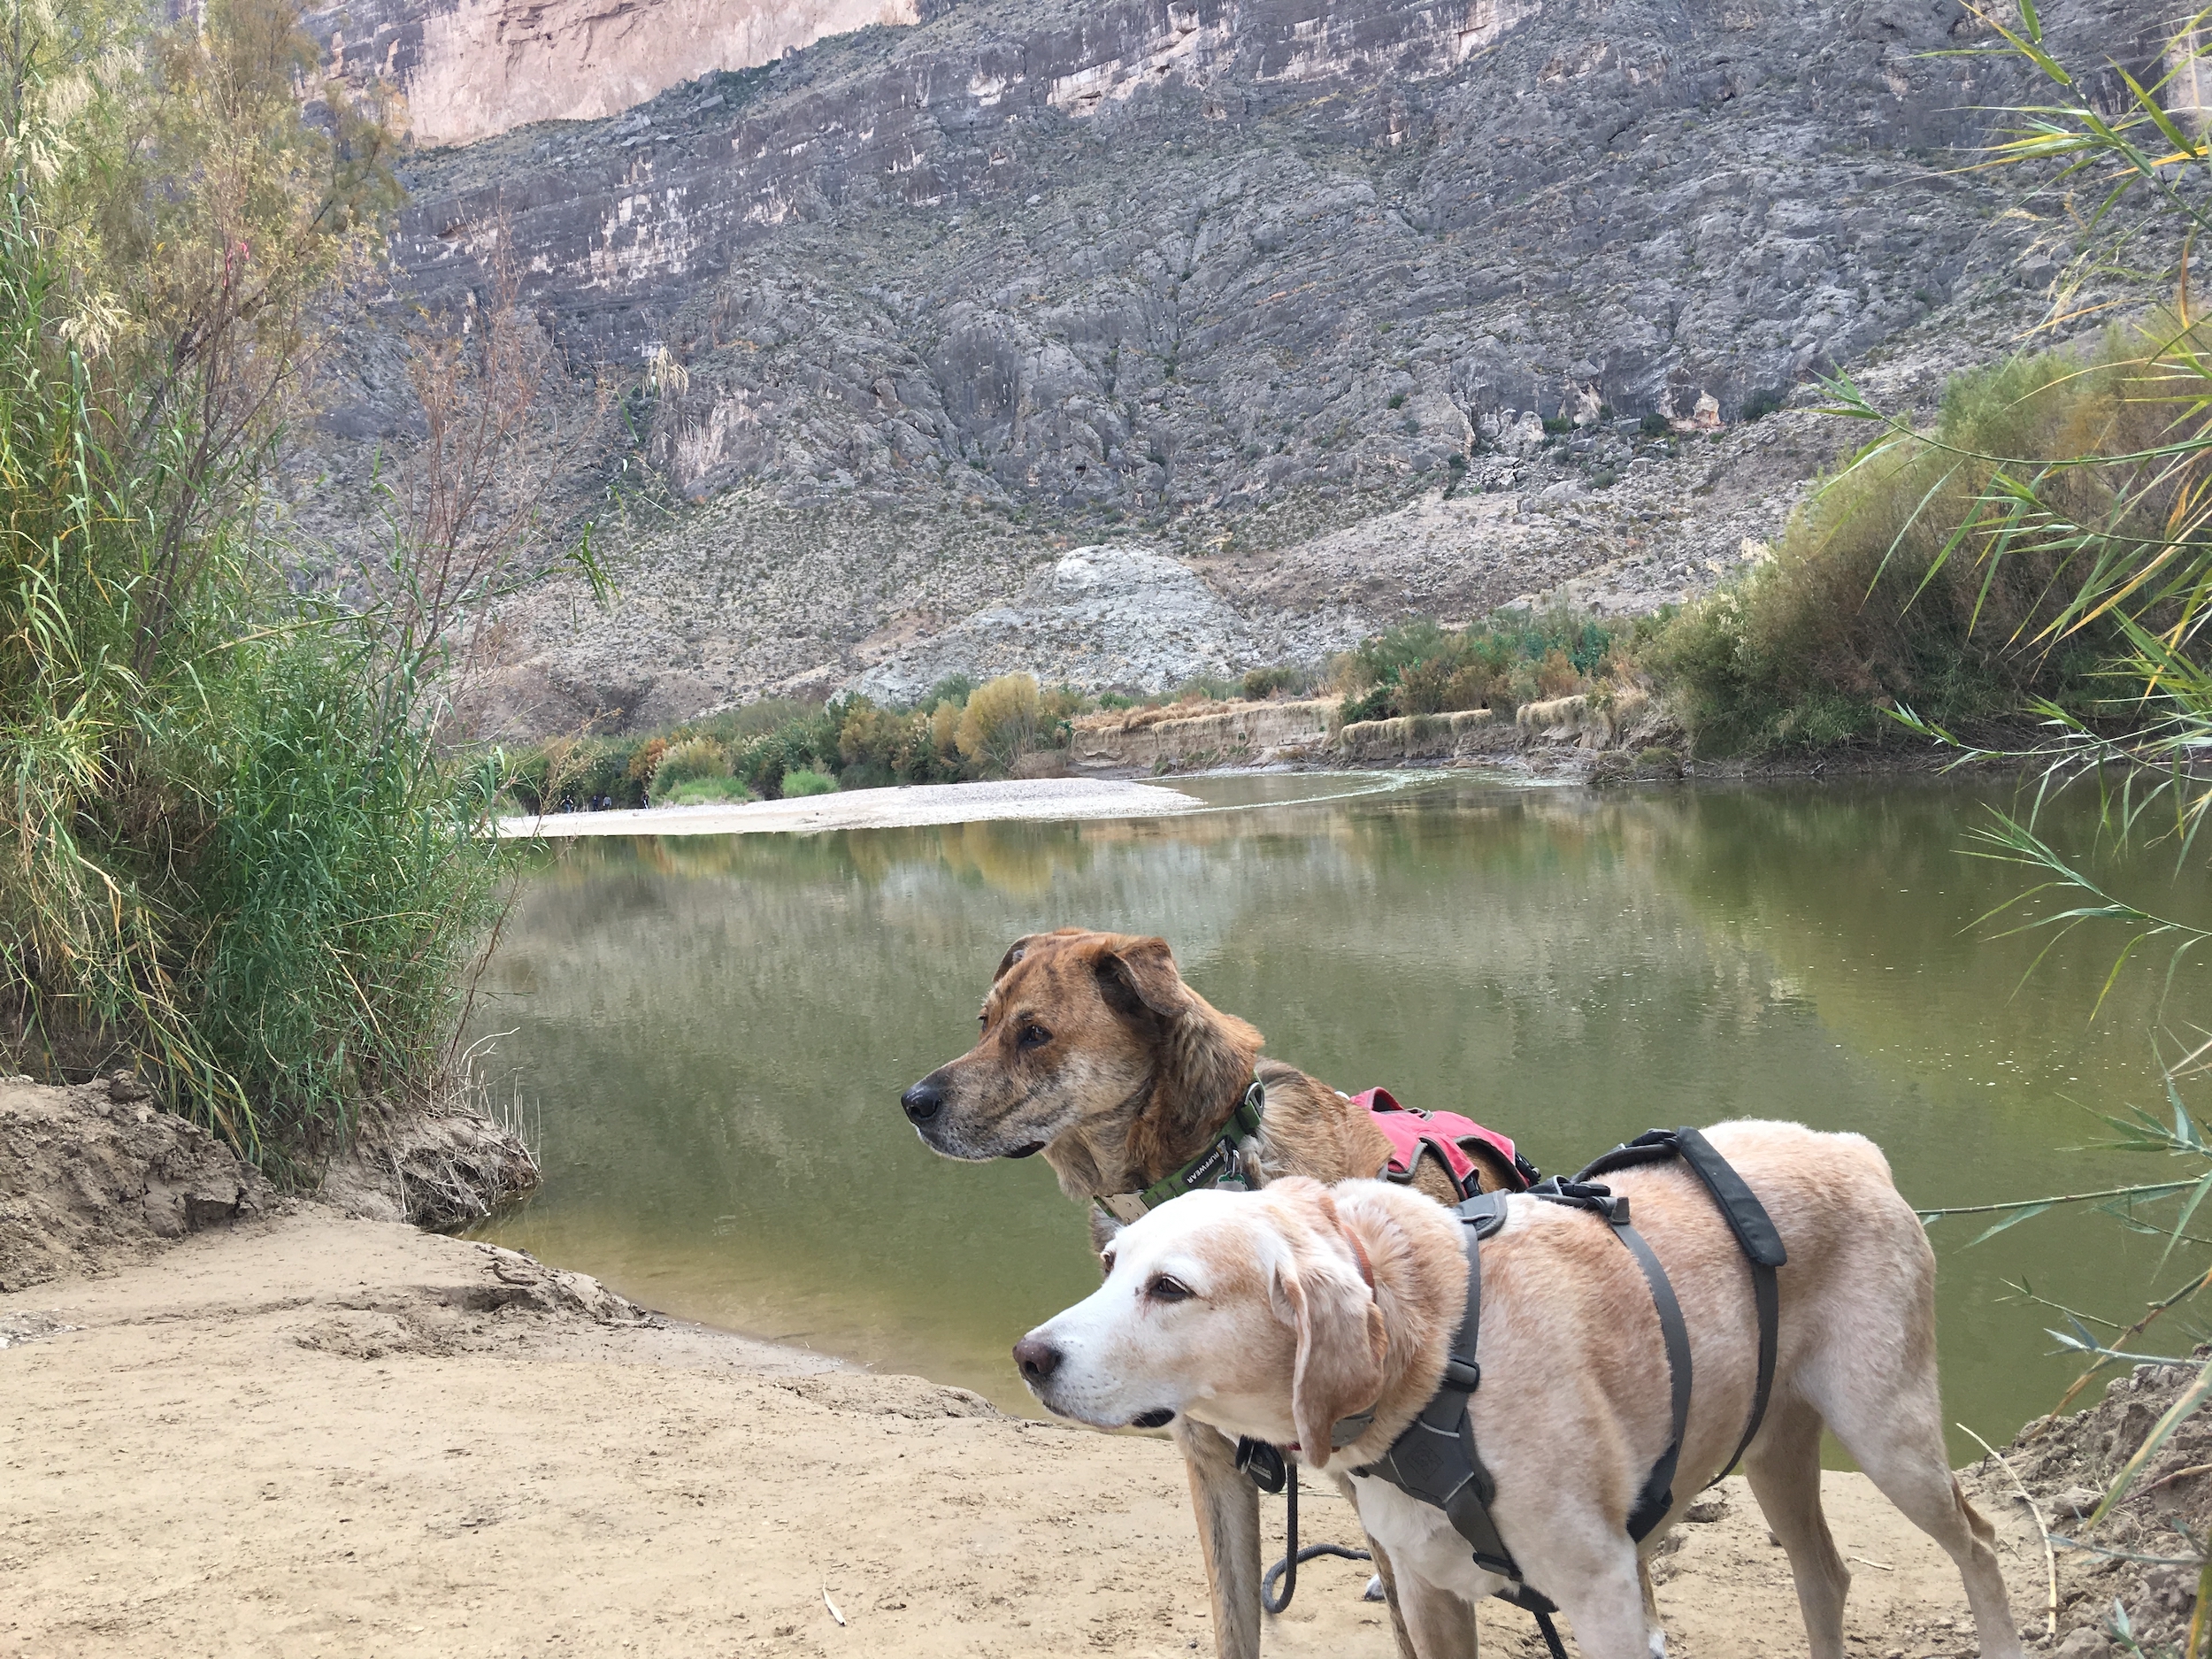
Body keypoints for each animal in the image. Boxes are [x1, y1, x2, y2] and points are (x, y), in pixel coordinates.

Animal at [1018, 1119, 2026, 1659]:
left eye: (1170, 1288)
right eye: (1110, 1265)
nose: (1029, 1355)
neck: (1439, 1373)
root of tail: (1851, 1147)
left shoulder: (1608, 1597)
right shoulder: (1430, 1593)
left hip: (1889, 1436)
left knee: (1979, 1545)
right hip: (1773, 1449)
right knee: (1824, 1573)